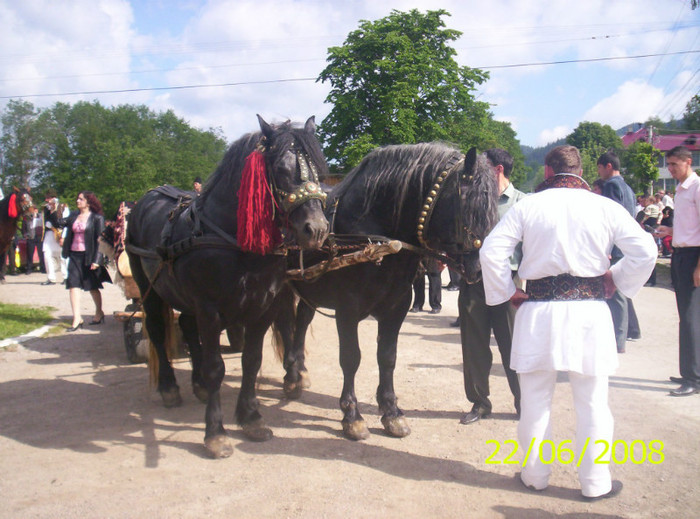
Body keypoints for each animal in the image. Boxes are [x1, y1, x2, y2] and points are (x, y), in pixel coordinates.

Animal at [127, 116, 330, 458]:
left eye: (318, 167)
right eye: (280, 168)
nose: (315, 229)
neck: (231, 238)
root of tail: (149, 196)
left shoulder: (262, 305)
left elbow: (251, 360)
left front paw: (251, 418)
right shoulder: (210, 309)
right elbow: (216, 368)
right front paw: (215, 433)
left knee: (186, 325)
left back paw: (196, 384)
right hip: (150, 289)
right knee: (156, 330)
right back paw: (169, 388)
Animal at [274, 143, 498, 442]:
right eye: (469, 204)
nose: (482, 271)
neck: (372, 237)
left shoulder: (396, 308)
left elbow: (387, 357)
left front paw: (391, 412)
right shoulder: (347, 310)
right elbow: (351, 358)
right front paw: (352, 416)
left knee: (301, 324)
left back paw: (299, 372)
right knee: (287, 327)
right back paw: (290, 376)